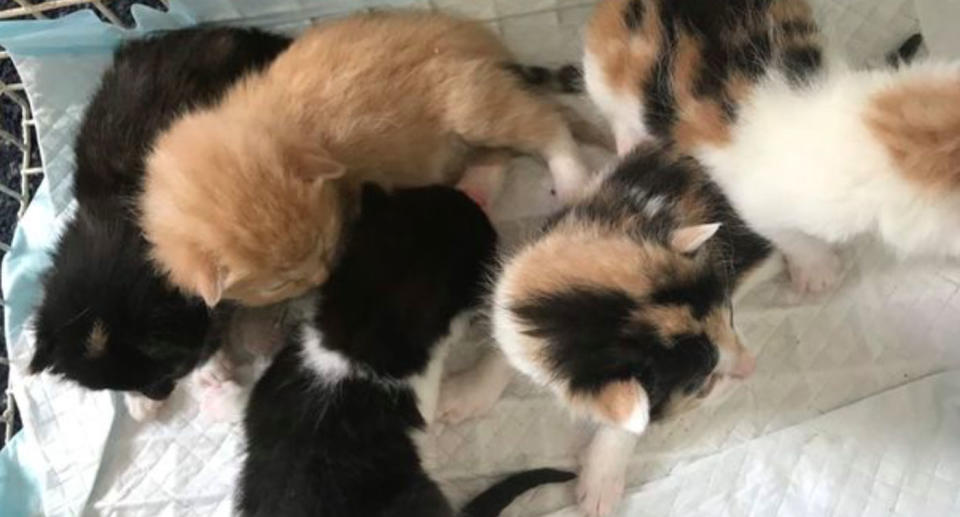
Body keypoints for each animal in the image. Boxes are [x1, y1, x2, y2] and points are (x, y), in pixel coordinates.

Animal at [30, 27, 292, 420]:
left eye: (173, 371)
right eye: (111, 387)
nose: (158, 393)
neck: (124, 214)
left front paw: (211, 367)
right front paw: (138, 402)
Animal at [139, 9, 596, 306]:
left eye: (325, 242)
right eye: (278, 284)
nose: (321, 276)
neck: (279, 127)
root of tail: (479, 37)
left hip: (469, 100)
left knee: (544, 124)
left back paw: (570, 176)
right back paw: (476, 186)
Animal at [488, 144, 780, 512]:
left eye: (730, 318)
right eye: (703, 383)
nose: (752, 367)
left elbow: (630, 422)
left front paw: (600, 482)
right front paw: (465, 393)